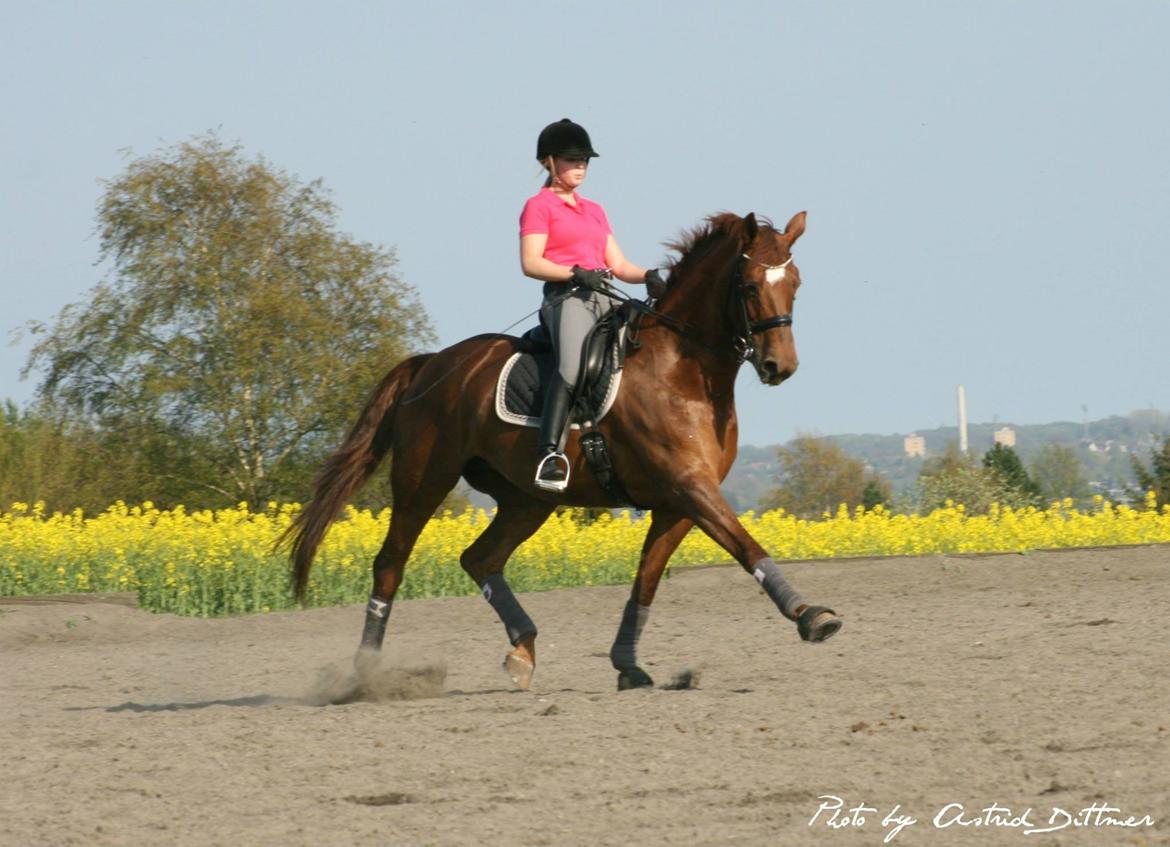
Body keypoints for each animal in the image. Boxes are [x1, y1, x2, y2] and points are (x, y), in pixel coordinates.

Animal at [287, 208, 847, 692]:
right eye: (749, 286)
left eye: (795, 284)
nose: (780, 366)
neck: (682, 369)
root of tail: (430, 364)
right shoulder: (690, 488)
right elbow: (748, 546)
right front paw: (811, 617)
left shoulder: (677, 504)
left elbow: (646, 581)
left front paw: (628, 665)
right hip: (425, 480)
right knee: (390, 564)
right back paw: (366, 673)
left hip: (527, 498)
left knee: (480, 559)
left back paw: (523, 651)